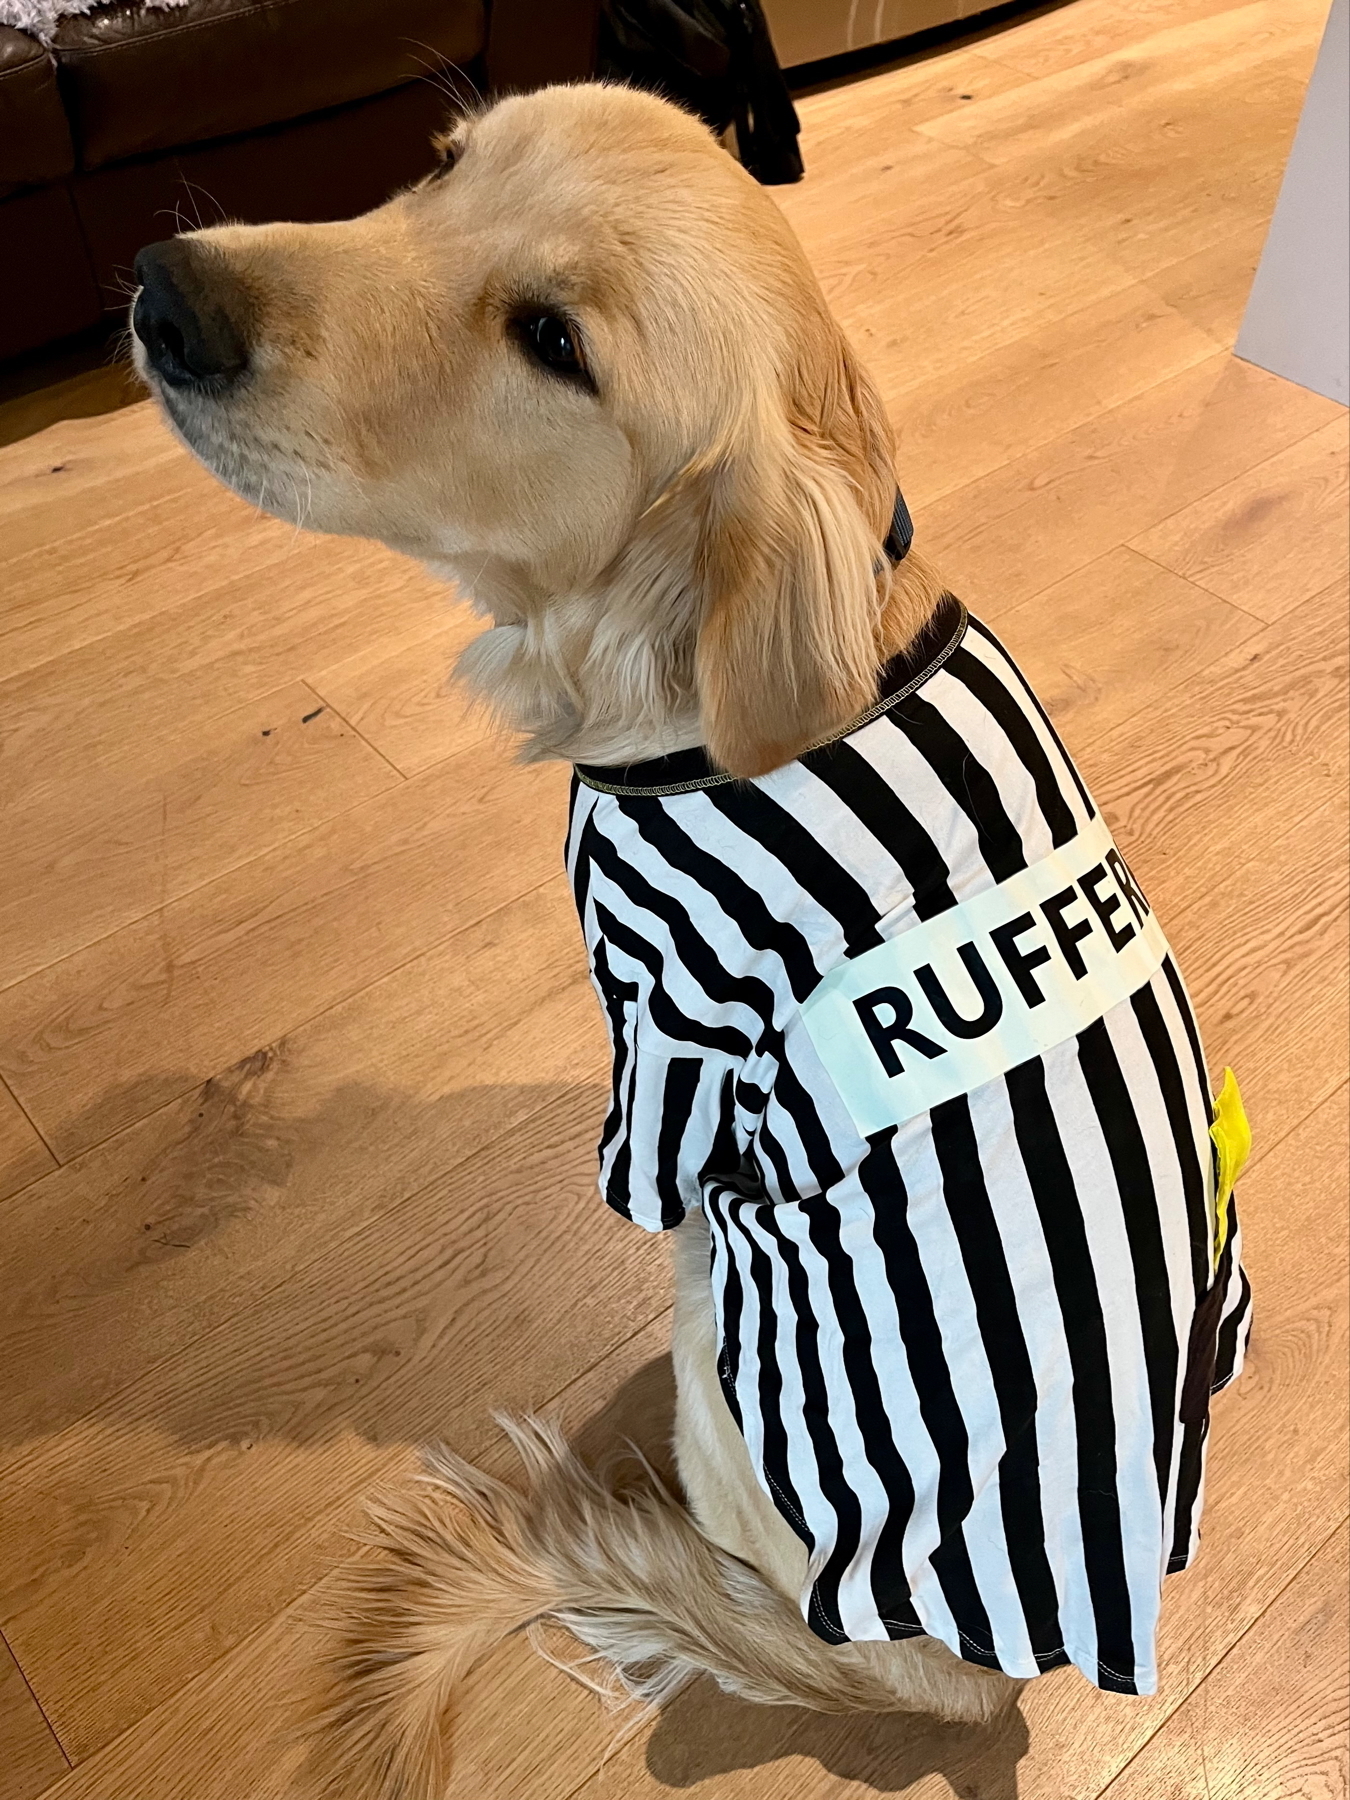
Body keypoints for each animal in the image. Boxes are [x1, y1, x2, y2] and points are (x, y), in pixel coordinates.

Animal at [132, 77, 1252, 1800]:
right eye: (442, 166)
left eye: (551, 341)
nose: (167, 296)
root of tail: (984, 1679)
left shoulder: (663, 1052)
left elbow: (648, 1178)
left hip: (734, 1368)